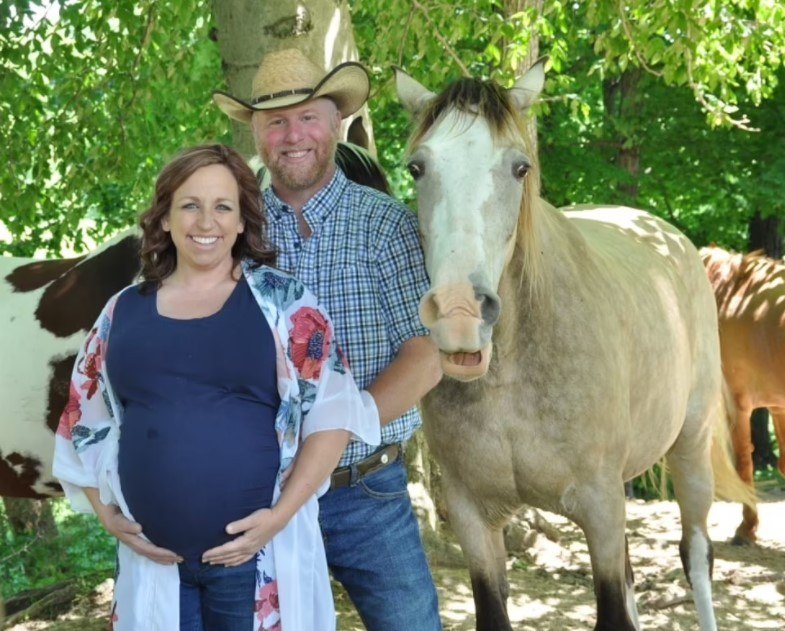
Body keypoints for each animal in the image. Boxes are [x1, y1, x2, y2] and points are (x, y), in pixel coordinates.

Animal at [396, 60, 752, 631]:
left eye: (520, 168)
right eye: (417, 168)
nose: (459, 314)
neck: (514, 372)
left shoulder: (600, 507)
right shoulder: (473, 518)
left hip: (690, 448)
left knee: (696, 555)